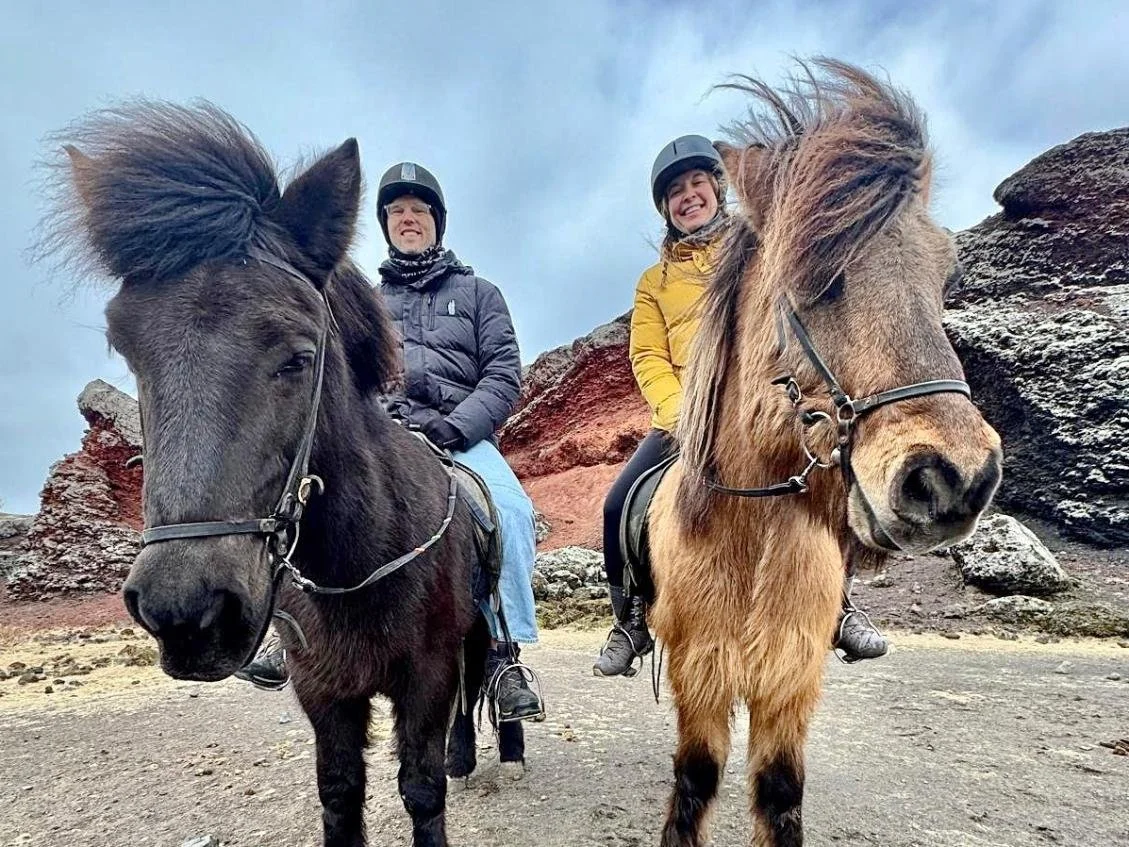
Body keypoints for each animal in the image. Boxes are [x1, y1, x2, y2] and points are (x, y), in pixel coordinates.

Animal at [42, 101, 517, 847]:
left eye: (299, 355)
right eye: (127, 348)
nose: (186, 612)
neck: (360, 563)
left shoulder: (426, 674)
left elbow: (421, 785)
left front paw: (445, 769)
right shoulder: (323, 689)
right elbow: (339, 793)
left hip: (471, 633)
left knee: (474, 689)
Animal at [645, 60, 1004, 846]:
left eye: (944, 279)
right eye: (813, 277)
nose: (955, 478)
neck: (751, 537)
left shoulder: (791, 677)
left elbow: (780, 792)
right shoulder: (699, 671)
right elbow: (694, 779)